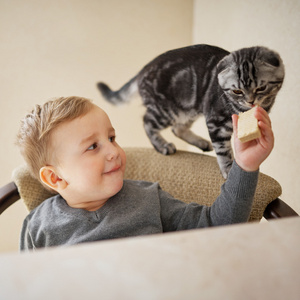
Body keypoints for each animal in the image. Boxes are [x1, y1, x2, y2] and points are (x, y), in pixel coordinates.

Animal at [97, 44, 284, 178]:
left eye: (261, 88)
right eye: (237, 91)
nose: (250, 101)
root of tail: (143, 70)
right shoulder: (215, 121)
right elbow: (223, 149)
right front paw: (228, 169)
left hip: (189, 109)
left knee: (177, 128)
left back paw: (201, 143)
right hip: (167, 111)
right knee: (147, 122)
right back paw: (162, 145)